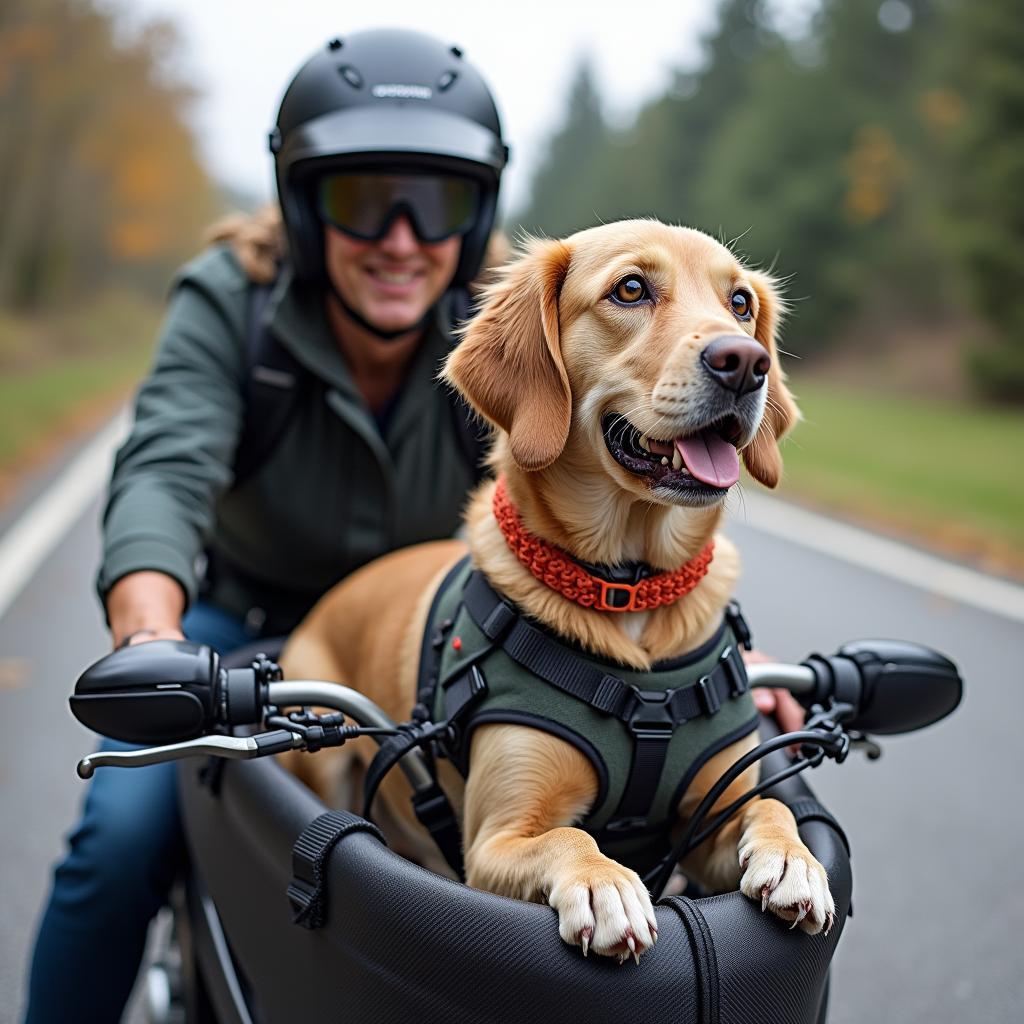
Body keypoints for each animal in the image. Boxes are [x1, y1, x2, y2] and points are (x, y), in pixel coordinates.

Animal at [278, 218, 831, 958]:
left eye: (740, 303)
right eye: (631, 289)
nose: (745, 362)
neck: (628, 590)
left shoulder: (707, 822)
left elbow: (768, 802)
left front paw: (794, 858)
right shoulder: (493, 841)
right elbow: (569, 835)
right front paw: (603, 883)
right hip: (324, 732)